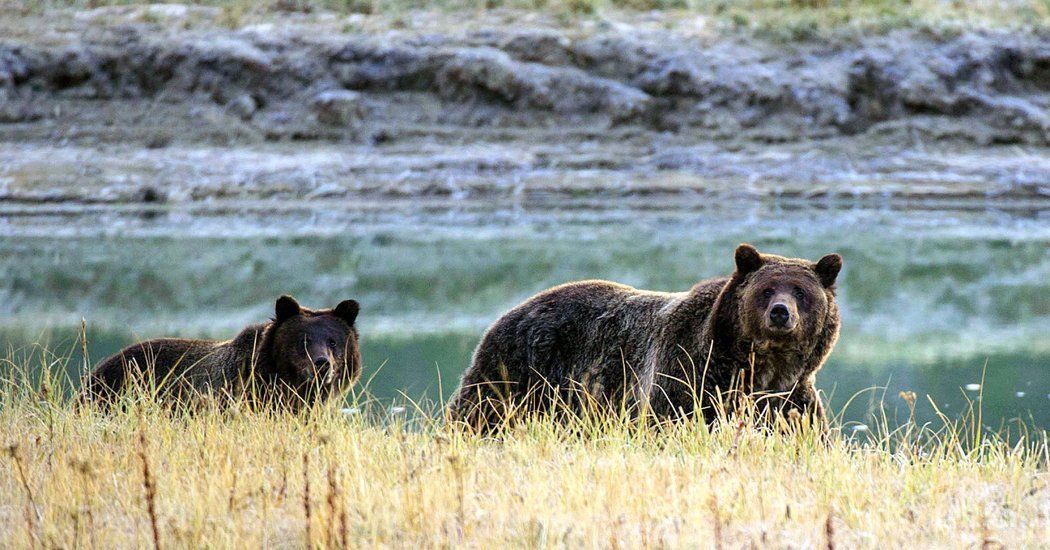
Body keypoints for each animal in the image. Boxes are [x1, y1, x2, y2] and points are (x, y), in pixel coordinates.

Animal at [447, 244, 842, 431]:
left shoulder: (789, 399)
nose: (780, 312)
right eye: (766, 289)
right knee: (479, 413)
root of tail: (511, 311)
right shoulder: (687, 377)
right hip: (518, 371)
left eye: (801, 291)